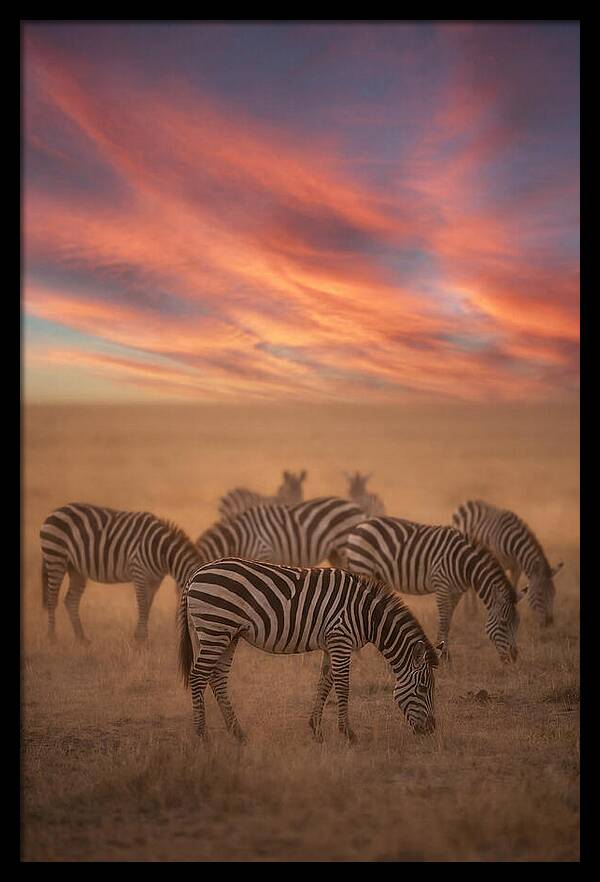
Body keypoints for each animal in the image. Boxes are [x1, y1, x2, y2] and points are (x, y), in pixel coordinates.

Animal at [40, 502, 202, 643]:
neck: (161, 551)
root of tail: (57, 510)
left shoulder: (155, 580)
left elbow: (148, 606)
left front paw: (140, 638)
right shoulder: (139, 572)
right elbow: (143, 605)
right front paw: (141, 640)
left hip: (76, 568)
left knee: (71, 600)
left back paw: (82, 639)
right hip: (55, 557)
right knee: (52, 598)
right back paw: (52, 638)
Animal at [178, 557, 442, 743]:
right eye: (423, 688)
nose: (431, 730)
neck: (366, 615)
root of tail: (196, 574)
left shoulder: (331, 643)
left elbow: (325, 682)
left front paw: (316, 730)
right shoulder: (340, 639)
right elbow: (343, 686)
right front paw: (348, 734)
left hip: (227, 634)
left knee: (217, 678)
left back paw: (238, 733)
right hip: (215, 628)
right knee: (198, 676)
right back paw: (202, 735)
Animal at [342, 517, 523, 664]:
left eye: (517, 624)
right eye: (503, 623)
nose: (514, 658)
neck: (465, 564)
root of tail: (360, 525)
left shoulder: (456, 592)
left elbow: (448, 621)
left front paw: (446, 655)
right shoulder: (441, 584)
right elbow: (443, 620)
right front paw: (444, 656)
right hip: (363, 565)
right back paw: (360, 656)